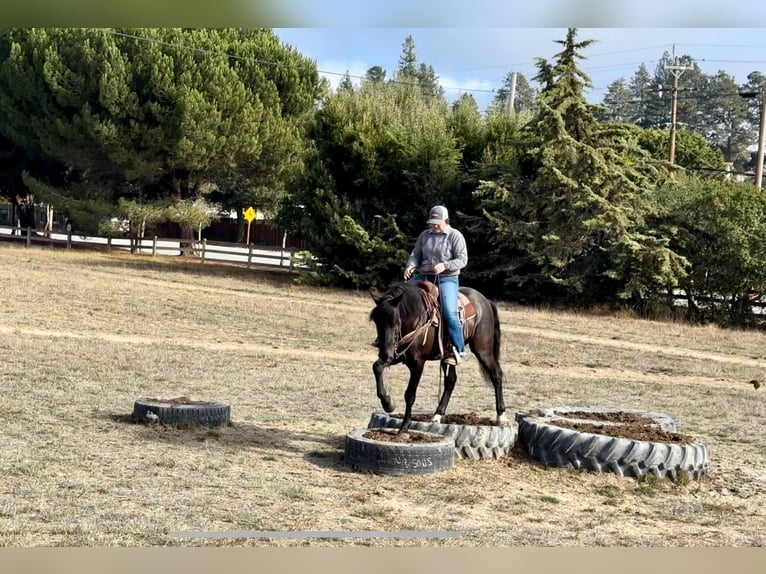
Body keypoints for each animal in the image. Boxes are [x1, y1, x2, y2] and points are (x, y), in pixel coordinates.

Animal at [372, 282, 510, 434]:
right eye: (376, 321)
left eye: (395, 319)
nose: (385, 352)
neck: (416, 318)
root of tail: (486, 302)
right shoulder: (397, 356)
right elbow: (377, 367)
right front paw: (387, 403)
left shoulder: (417, 363)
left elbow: (410, 394)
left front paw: (404, 427)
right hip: (447, 357)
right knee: (451, 381)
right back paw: (437, 415)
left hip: (483, 351)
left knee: (496, 375)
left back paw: (501, 417)